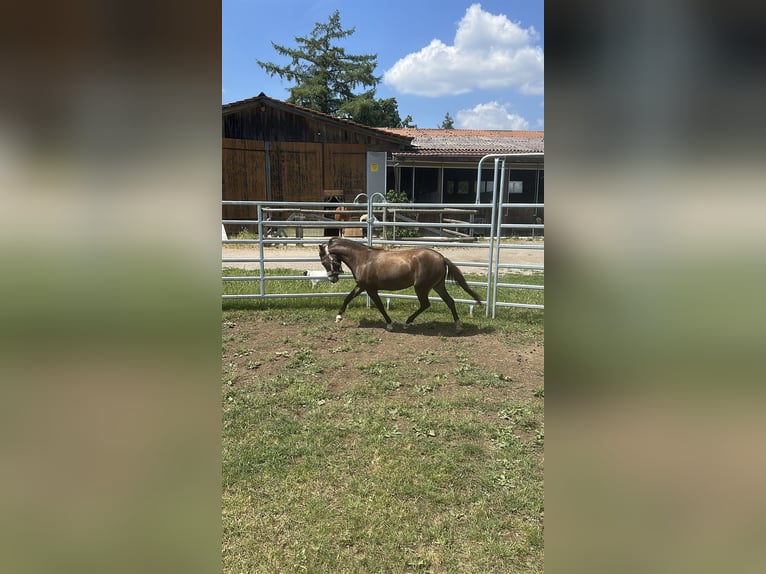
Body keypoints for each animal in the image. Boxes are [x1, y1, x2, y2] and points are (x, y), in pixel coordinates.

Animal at [318, 237, 482, 332]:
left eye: (325, 261)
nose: (332, 279)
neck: (362, 259)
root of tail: (442, 258)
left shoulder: (371, 288)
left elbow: (380, 306)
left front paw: (390, 324)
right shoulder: (362, 286)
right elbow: (348, 298)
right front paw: (339, 317)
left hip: (421, 287)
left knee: (426, 304)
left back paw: (407, 323)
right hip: (438, 286)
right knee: (450, 301)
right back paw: (458, 326)